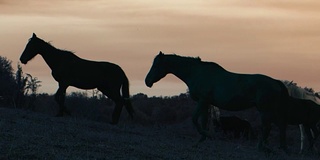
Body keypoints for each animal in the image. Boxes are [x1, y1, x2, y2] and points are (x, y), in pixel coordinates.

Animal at [146, 51, 292, 151]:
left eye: (156, 65)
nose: (147, 81)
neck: (196, 73)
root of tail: (276, 82)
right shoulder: (206, 104)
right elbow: (203, 122)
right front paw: (200, 142)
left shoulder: (202, 101)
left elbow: (195, 119)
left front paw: (208, 135)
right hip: (270, 110)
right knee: (280, 126)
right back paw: (280, 147)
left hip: (265, 110)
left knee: (268, 127)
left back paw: (261, 147)